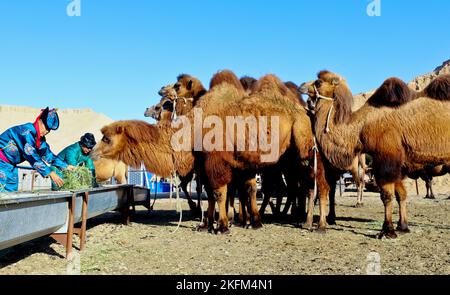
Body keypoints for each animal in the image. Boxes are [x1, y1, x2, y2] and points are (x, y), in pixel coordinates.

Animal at [302, 71, 450, 240]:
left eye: (318, 82)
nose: (302, 86)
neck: (361, 127)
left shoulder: (386, 156)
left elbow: (386, 195)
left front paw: (387, 231)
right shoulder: (396, 161)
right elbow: (400, 194)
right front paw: (403, 227)